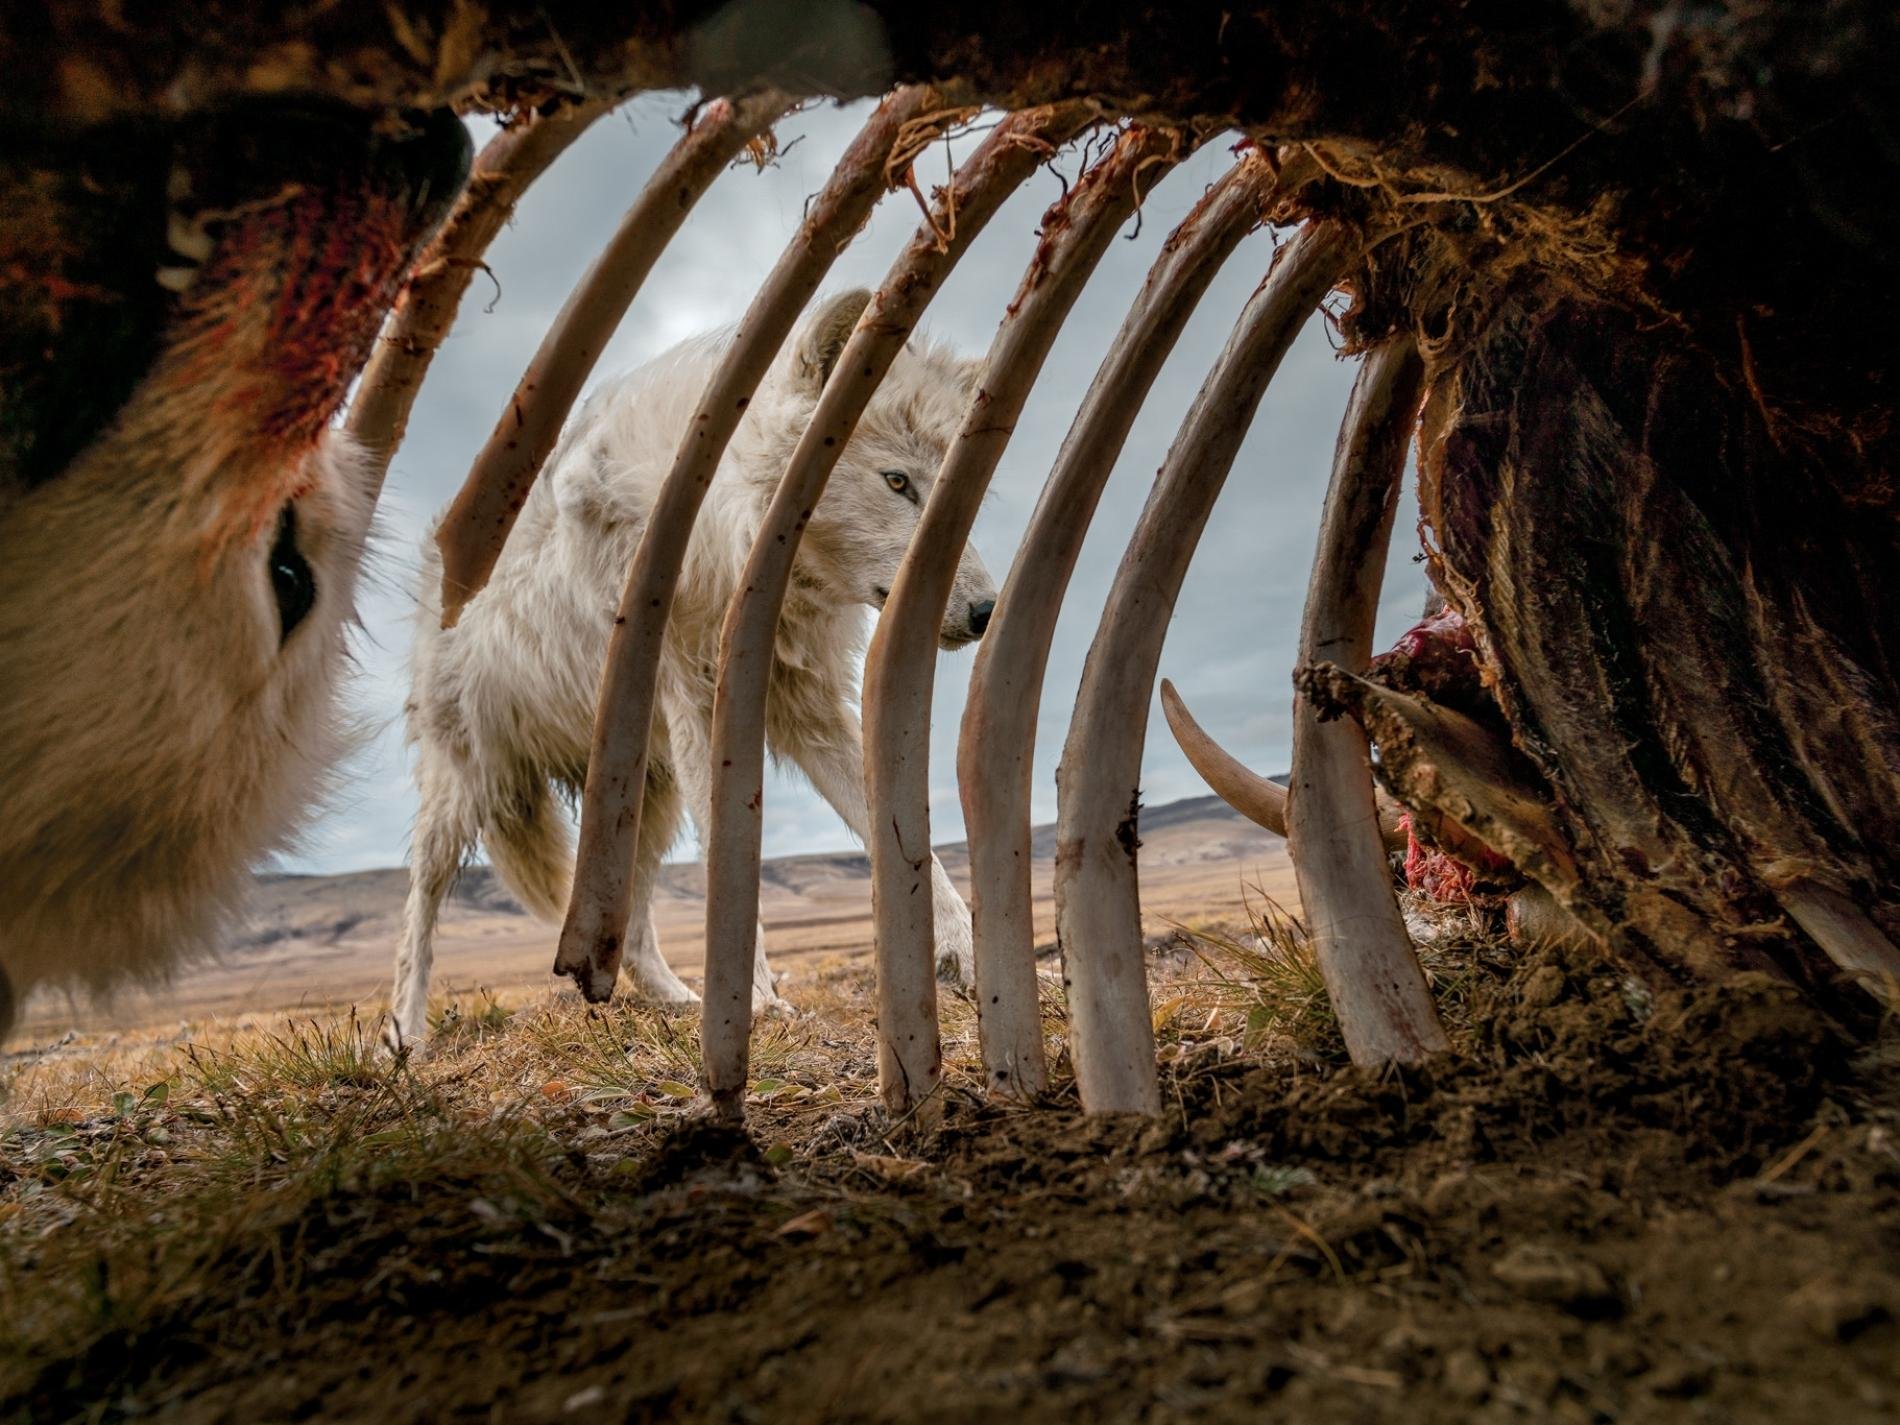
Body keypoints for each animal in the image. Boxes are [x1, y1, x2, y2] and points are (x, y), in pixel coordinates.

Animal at [388, 290, 997, 1048]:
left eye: (960, 495)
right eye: (897, 481)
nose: (987, 611)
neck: (728, 546)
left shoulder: (806, 710)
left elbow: (909, 840)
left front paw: (965, 950)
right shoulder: (701, 705)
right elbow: (730, 863)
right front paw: (755, 1004)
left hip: (647, 796)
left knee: (631, 929)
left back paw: (676, 1000)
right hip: (466, 793)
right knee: (419, 910)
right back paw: (405, 1035)